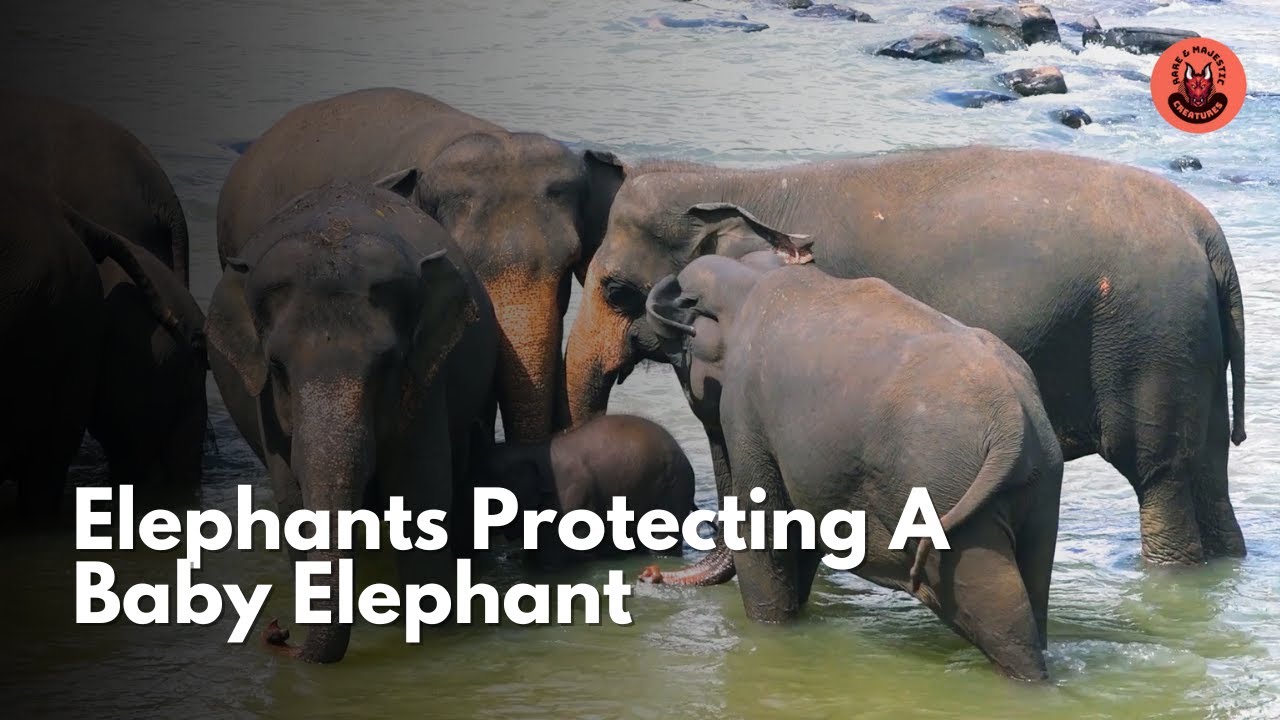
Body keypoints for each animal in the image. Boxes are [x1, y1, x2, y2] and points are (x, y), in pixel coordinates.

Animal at [204, 177, 499, 663]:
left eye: (387, 364)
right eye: (277, 368)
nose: (278, 631)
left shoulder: (424, 382)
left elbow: (421, 493)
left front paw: (433, 635)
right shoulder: (264, 402)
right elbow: (290, 501)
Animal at [564, 145, 1247, 566]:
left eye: (615, 290)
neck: (730, 182)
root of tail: (1209, 236)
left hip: (1149, 343)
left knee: (1159, 476)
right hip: (1195, 348)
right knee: (1208, 473)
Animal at [637, 248, 1064, 681]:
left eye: (678, 362)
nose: (648, 574)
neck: (750, 278)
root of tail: (1011, 412)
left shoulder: (744, 410)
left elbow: (764, 531)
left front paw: (770, 631)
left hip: (943, 486)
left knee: (997, 611)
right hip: (1040, 486)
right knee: (1032, 587)